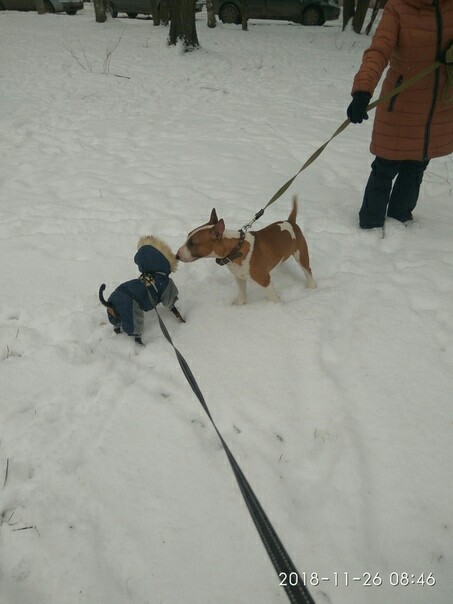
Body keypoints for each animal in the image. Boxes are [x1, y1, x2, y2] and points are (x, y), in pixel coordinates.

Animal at [175, 196, 316, 304]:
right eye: (187, 236)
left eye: (192, 243)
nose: (177, 256)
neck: (235, 249)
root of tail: (290, 222)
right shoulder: (239, 278)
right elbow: (242, 295)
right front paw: (240, 306)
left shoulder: (265, 281)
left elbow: (274, 299)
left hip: (301, 255)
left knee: (307, 270)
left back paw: (311, 287)